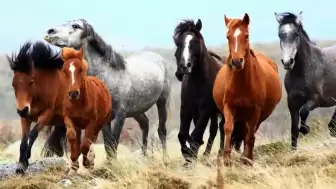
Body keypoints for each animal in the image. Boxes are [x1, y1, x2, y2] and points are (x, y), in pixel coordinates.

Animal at [7, 41, 68, 174]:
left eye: (31, 82)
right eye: (13, 84)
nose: (22, 110)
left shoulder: (46, 115)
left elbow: (33, 134)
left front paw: (27, 157)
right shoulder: (25, 118)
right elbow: (23, 140)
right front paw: (21, 166)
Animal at [43, 18, 173, 158]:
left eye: (75, 26)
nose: (50, 32)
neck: (109, 77)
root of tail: (158, 57)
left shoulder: (120, 116)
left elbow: (114, 144)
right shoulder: (105, 119)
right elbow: (108, 146)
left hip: (162, 102)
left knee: (161, 130)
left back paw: (165, 157)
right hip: (136, 111)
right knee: (145, 124)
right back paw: (144, 157)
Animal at [214, 12, 282, 165]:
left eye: (246, 35)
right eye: (228, 36)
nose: (237, 62)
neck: (242, 84)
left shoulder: (256, 111)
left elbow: (250, 136)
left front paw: (248, 160)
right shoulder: (229, 107)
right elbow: (228, 129)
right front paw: (227, 160)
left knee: (249, 134)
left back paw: (246, 158)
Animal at [274, 11, 336, 151]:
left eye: (296, 34)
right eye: (280, 35)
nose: (287, 62)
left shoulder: (315, 100)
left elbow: (304, 111)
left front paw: (305, 129)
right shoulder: (292, 102)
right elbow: (293, 130)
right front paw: (293, 151)